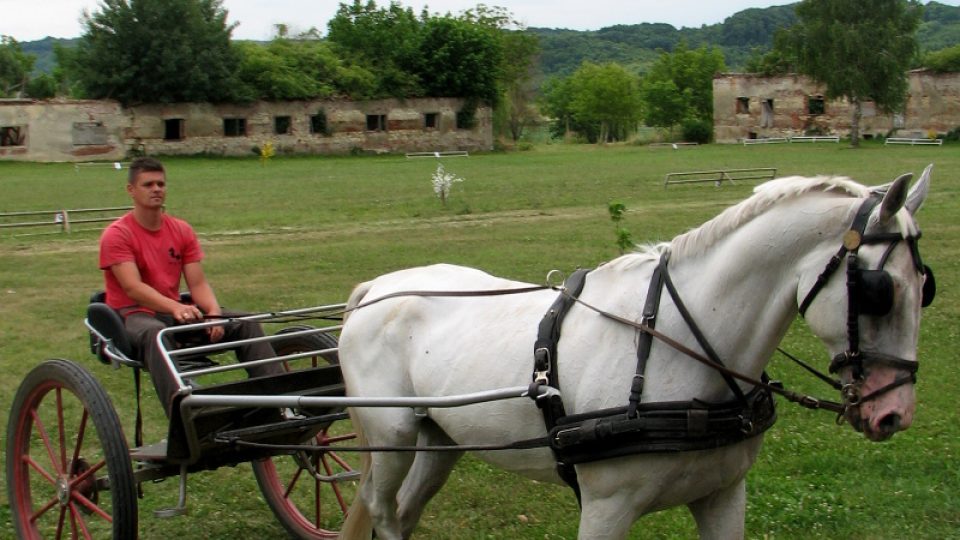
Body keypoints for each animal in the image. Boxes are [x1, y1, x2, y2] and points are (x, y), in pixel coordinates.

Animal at [336, 167, 928, 536]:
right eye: (880, 291)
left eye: (927, 287)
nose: (893, 413)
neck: (676, 347)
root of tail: (376, 288)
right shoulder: (605, 507)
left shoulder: (722, 495)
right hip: (392, 438)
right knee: (384, 512)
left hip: (440, 439)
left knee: (406, 511)